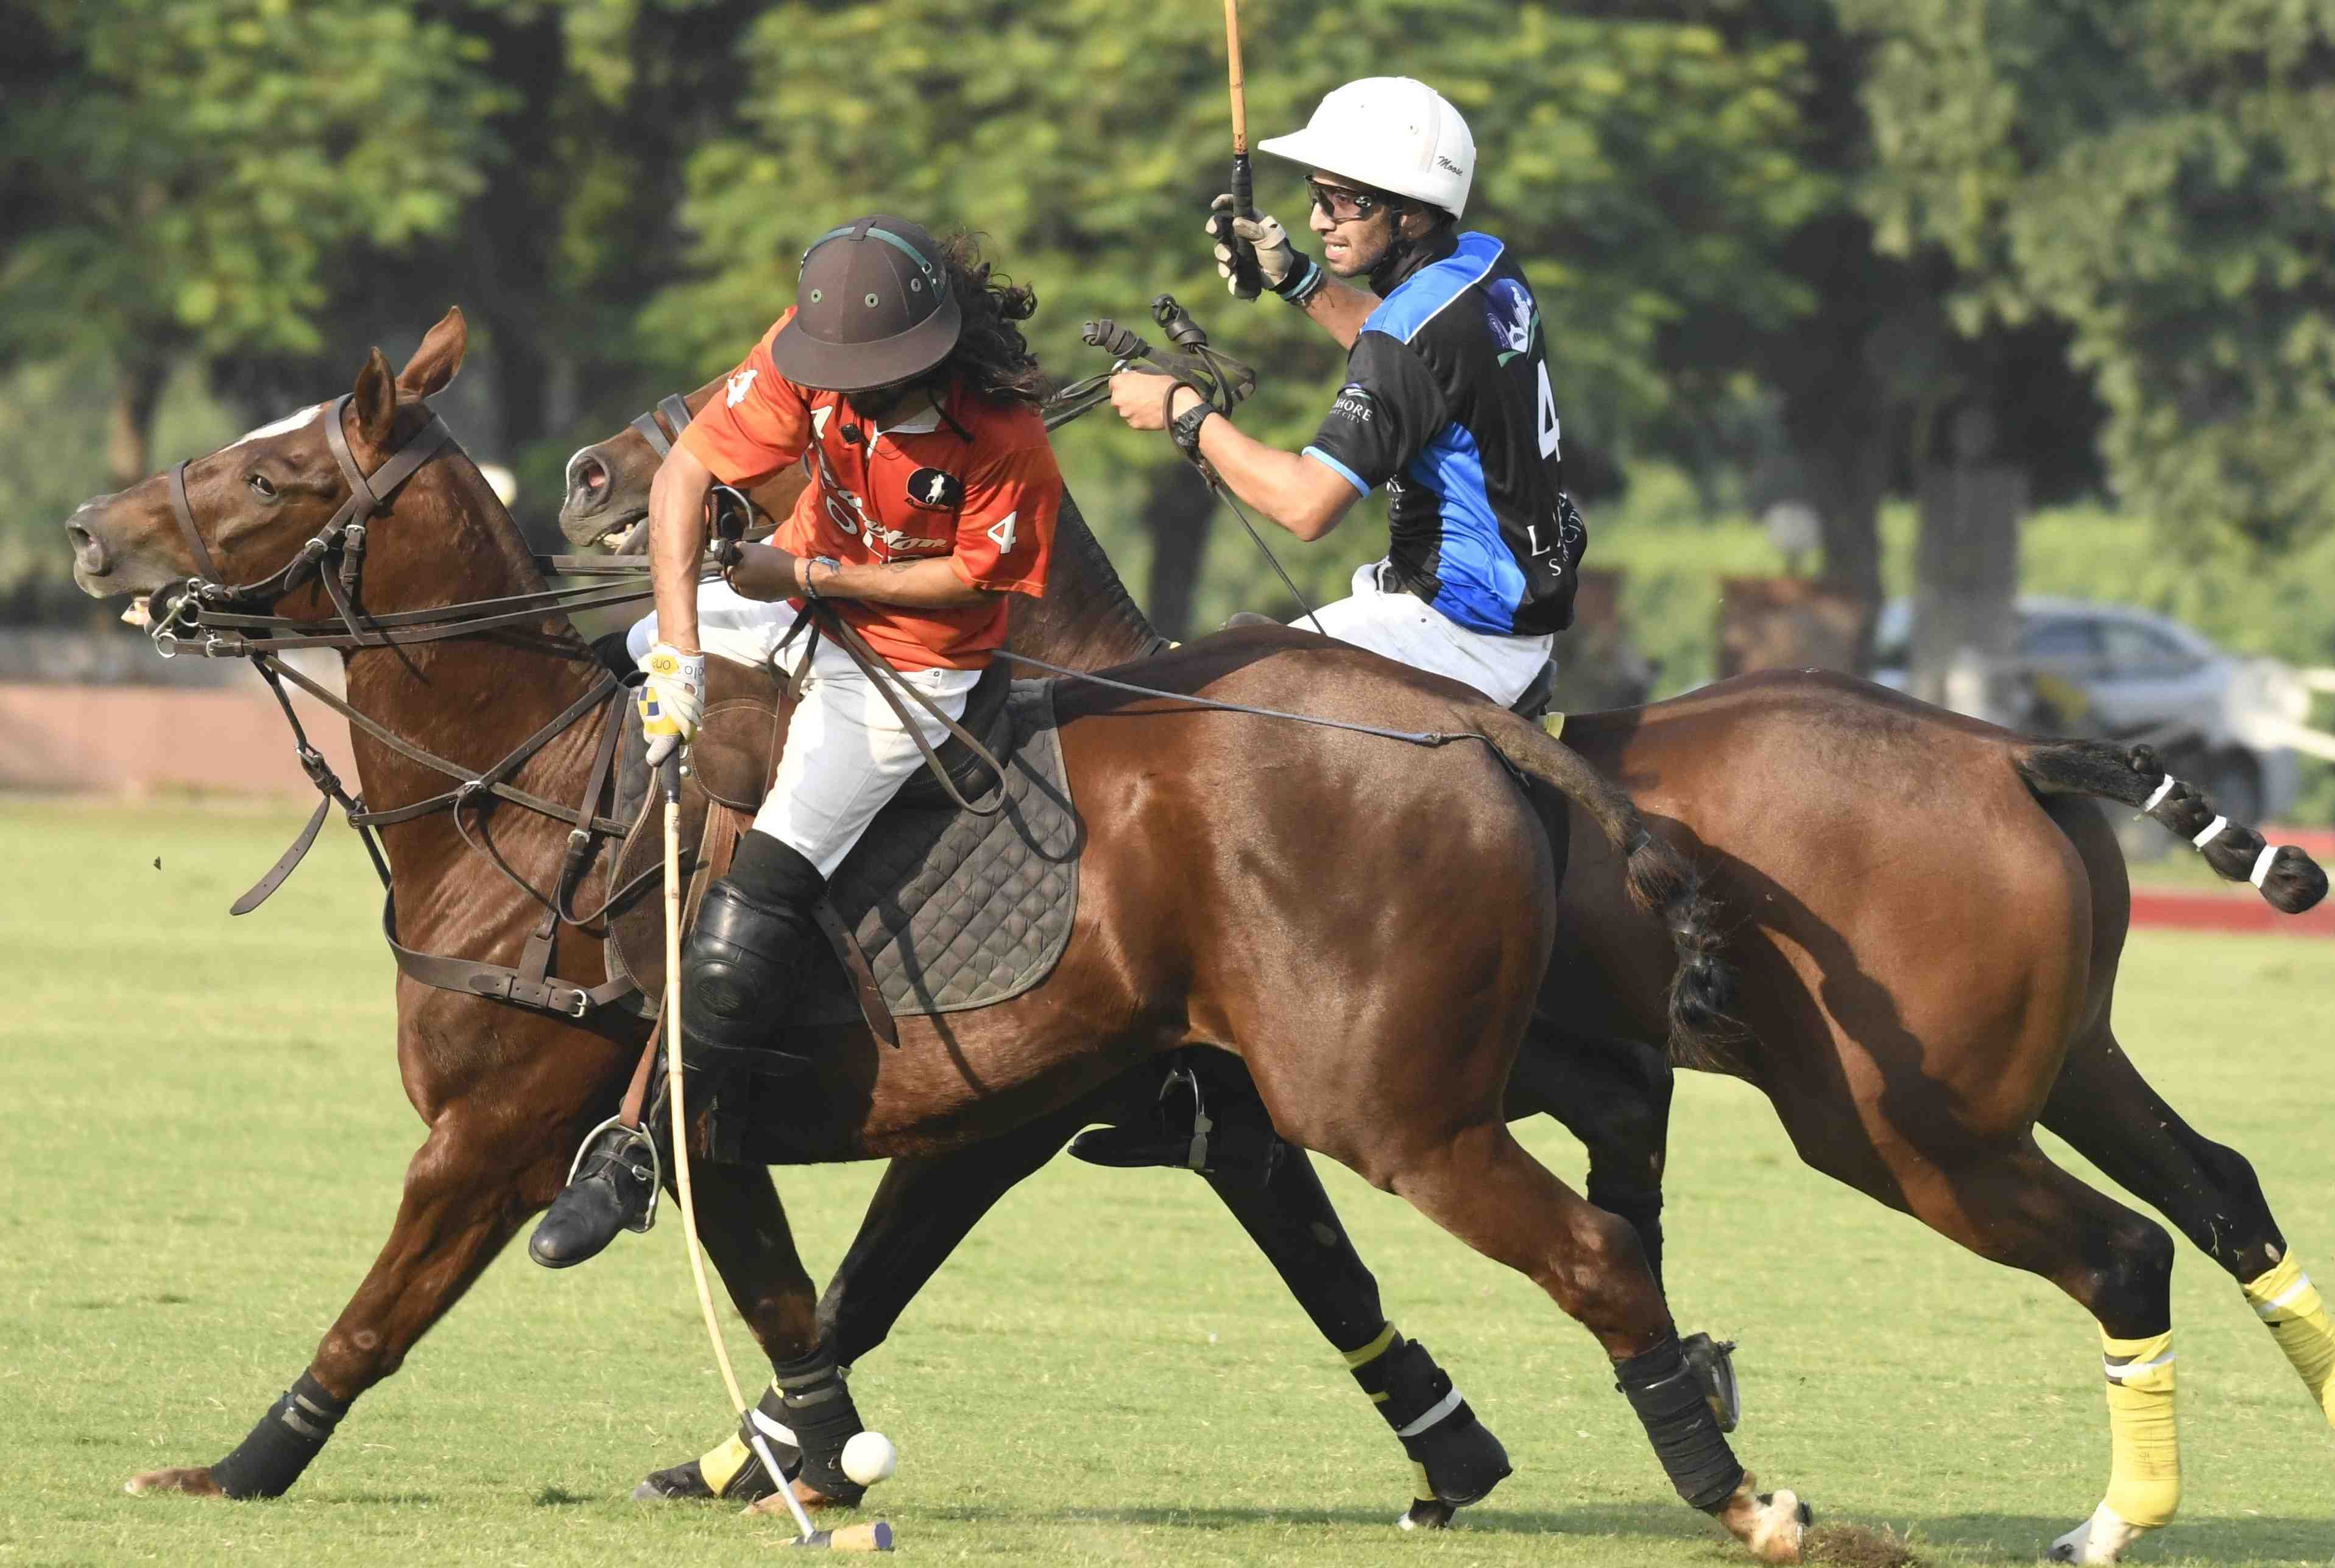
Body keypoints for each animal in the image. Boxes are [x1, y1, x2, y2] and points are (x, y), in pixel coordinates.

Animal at [55, 313, 1803, 1558]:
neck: (531, 793)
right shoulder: (740, 1126)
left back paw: (1735, 1485)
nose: (81, 529)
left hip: (1386, 1098)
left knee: (1591, 1244)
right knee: (1623, 1140)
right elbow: (800, 1303)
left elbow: (380, 1307)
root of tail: (1477, 727)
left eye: (268, 479)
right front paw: (797, 1462)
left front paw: (232, 1466)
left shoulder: (500, 1127)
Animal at [556, 364, 2325, 1558]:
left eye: (796, 416)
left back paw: (2100, 1517)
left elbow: (879, 1267)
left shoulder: (1147, 1104)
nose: (583, 472)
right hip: (2053, 1063)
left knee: (2121, 1247)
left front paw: (765, 1447)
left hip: (1903, 1122)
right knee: (2222, 1186)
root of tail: (2014, 751)